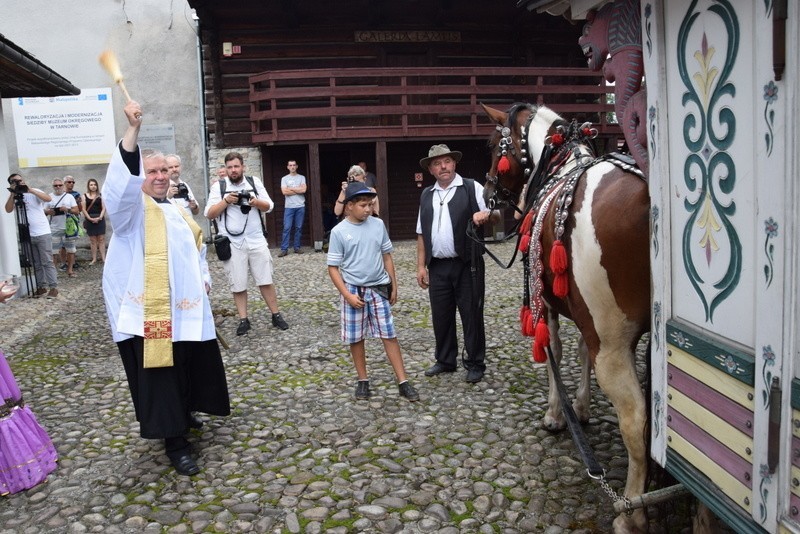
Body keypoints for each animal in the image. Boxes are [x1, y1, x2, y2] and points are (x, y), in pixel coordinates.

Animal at [482, 102, 648, 532]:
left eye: (492, 145)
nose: (487, 191)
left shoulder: (552, 307)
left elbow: (553, 352)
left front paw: (557, 415)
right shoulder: (583, 316)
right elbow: (580, 354)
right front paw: (583, 409)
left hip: (614, 346)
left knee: (636, 420)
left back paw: (631, 511)